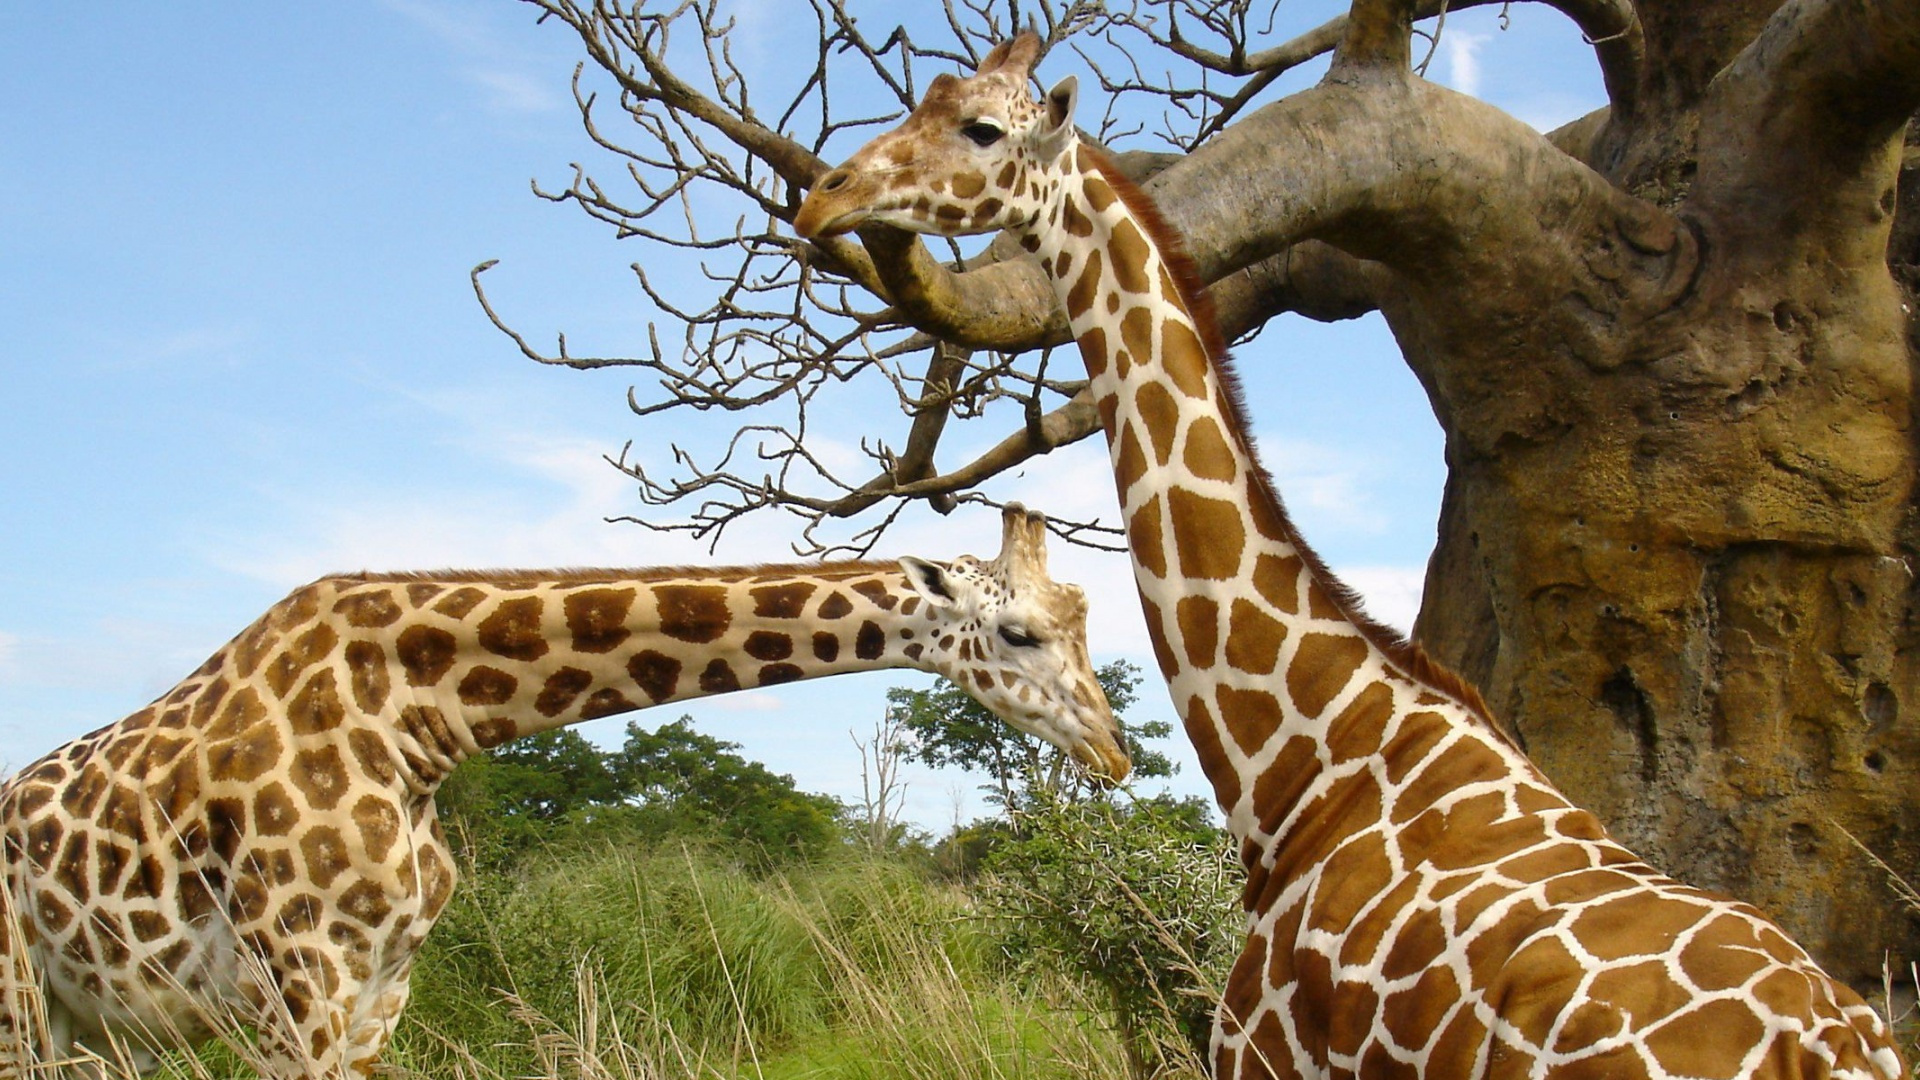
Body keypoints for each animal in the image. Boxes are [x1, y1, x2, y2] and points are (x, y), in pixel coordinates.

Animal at [0, 504, 1128, 1078]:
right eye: (1021, 631)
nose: (1115, 752)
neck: (413, 717)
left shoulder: (380, 988)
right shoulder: (295, 981)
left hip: (93, 1026)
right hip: (21, 1002)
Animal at [795, 34, 1908, 1080]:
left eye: (981, 128)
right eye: (923, 100)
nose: (823, 195)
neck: (1310, 762)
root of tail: (1833, 1048)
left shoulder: (1262, 1052)